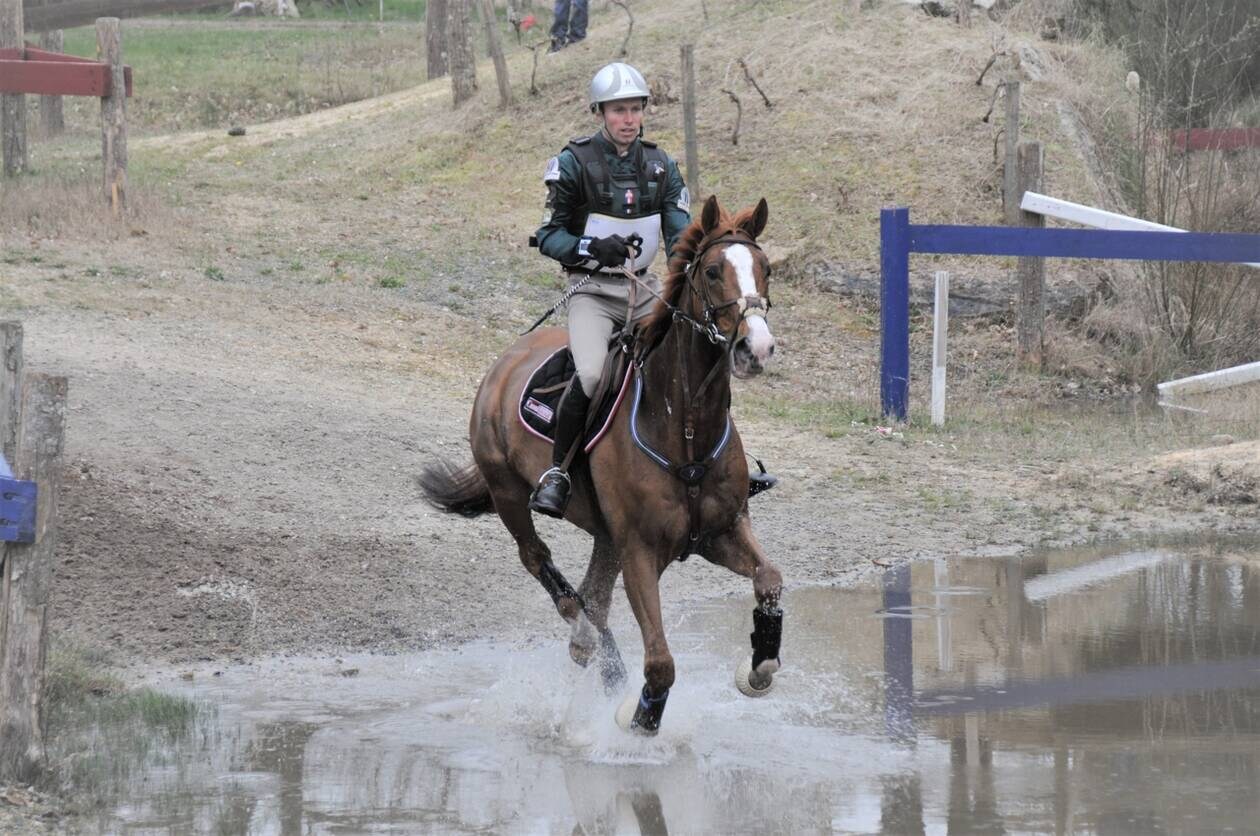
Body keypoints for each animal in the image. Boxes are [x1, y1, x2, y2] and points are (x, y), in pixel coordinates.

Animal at [418, 196, 781, 731]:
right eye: (714, 272)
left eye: (766, 269)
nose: (755, 348)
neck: (684, 425)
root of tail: (507, 359)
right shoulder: (639, 552)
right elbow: (661, 664)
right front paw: (639, 720)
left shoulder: (722, 531)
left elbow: (769, 579)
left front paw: (760, 666)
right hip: (510, 494)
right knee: (545, 567)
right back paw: (590, 644)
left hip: (605, 536)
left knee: (595, 600)